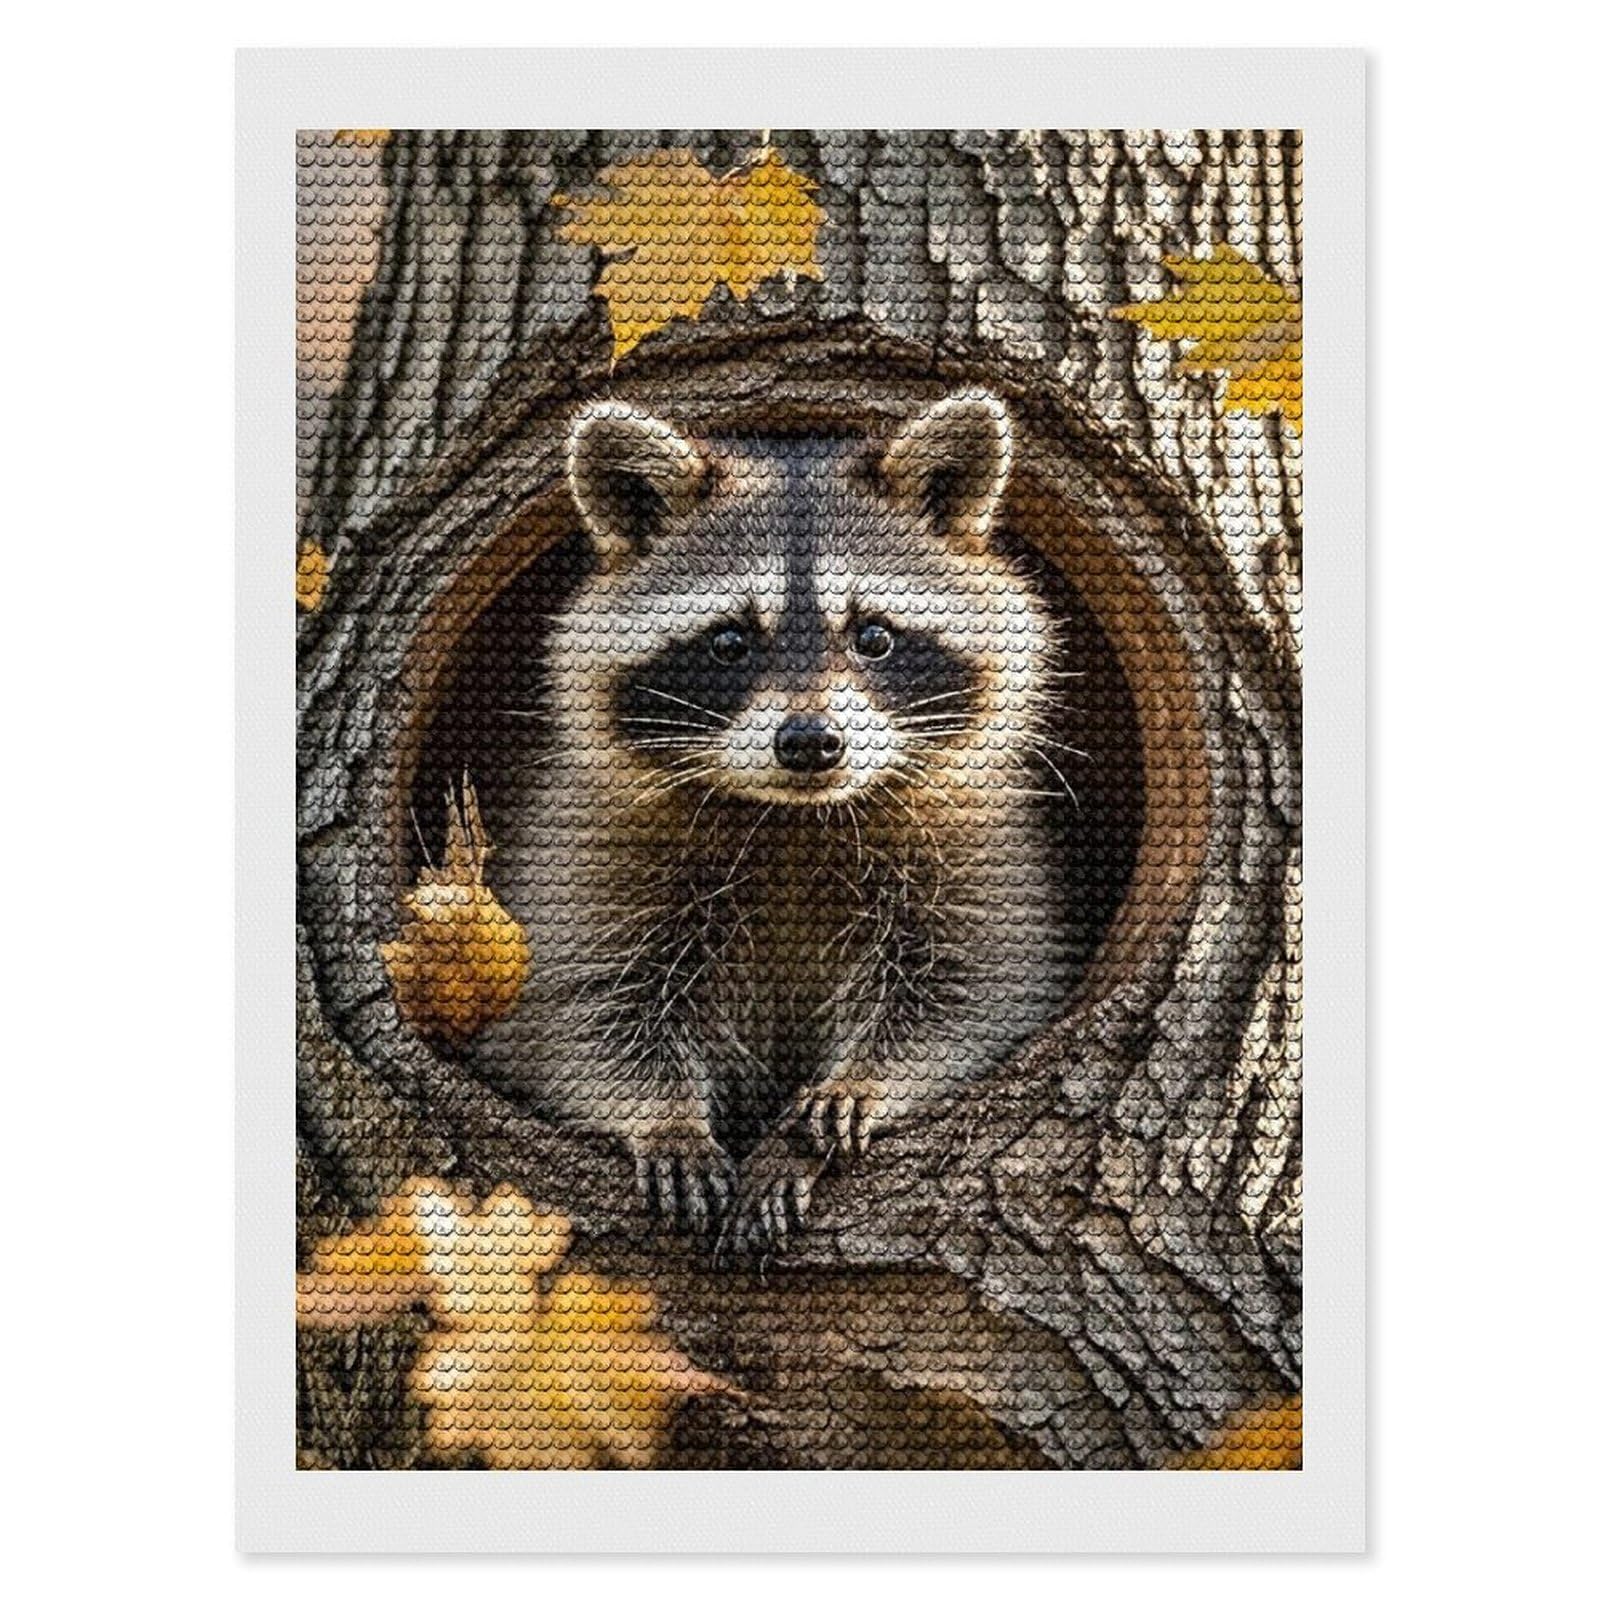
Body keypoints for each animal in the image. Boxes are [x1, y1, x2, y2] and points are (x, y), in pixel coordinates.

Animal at [476, 391, 1072, 1245]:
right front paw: (664, 1117)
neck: (796, 819)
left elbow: (972, 992)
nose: (810, 742)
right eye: (728, 642)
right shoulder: (591, 843)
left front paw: (852, 1091)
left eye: (874, 636)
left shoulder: (976, 846)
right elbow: (583, 1007)